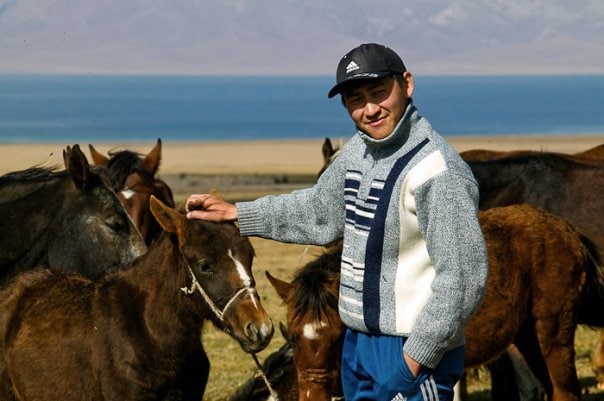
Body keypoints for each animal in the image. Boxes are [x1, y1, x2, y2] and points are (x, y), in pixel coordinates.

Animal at [266, 205, 600, 400]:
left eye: (337, 337)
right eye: (293, 338)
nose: (314, 395)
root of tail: (567, 230)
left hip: (552, 333)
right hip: (528, 338)